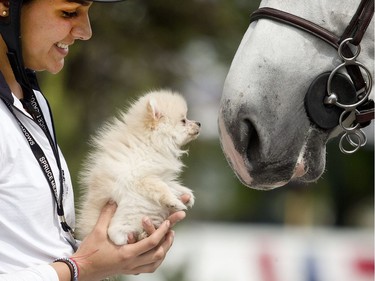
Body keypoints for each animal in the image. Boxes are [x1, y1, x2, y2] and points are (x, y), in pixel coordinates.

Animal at [75, 88, 201, 244]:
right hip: (121, 220)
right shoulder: (141, 176)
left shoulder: (159, 174)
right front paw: (174, 202)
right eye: (183, 120)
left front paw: (187, 195)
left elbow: (172, 184)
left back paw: (143, 235)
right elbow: (162, 187)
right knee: (116, 235)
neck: (150, 142)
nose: (199, 123)